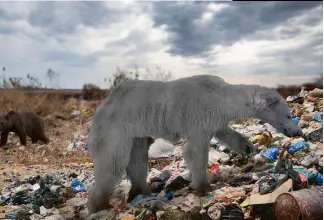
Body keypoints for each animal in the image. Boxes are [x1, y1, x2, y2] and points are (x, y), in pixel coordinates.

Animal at [85, 74, 302, 213]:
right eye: (288, 114)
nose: (297, 131)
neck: (222, 95)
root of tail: (103, 104)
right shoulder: (200, 113)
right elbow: (195, 151)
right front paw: (205, 186)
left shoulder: (214, 117)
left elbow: (225, 132)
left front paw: (249, 146)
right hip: (117, 127)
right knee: (112, 162)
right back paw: (99, 205)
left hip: (135, 132)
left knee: (137, 160)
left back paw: (141, 191)